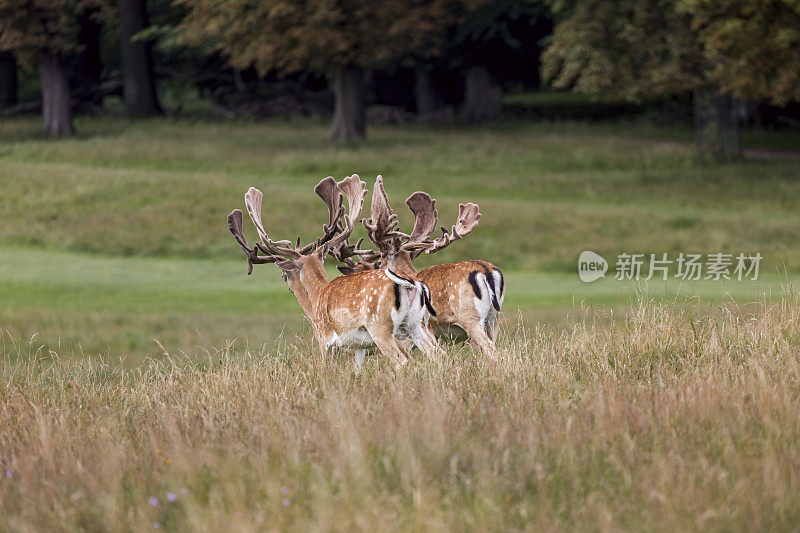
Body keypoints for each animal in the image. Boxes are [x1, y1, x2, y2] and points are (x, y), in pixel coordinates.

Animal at [225, 175, 440, 370]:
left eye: (285, 274)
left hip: (381, 326)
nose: (288, 285)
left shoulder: (324, 340)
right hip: (416, 324)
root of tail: (412, 284)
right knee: (437, 354)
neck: (316, 299)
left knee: (404, 361)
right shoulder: (358, 348)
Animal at [340, 176, 506, 358]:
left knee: (491, 350)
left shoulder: (417, 330)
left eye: (379, 262)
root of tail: (487, 271)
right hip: (494, 318)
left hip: (470, 316)